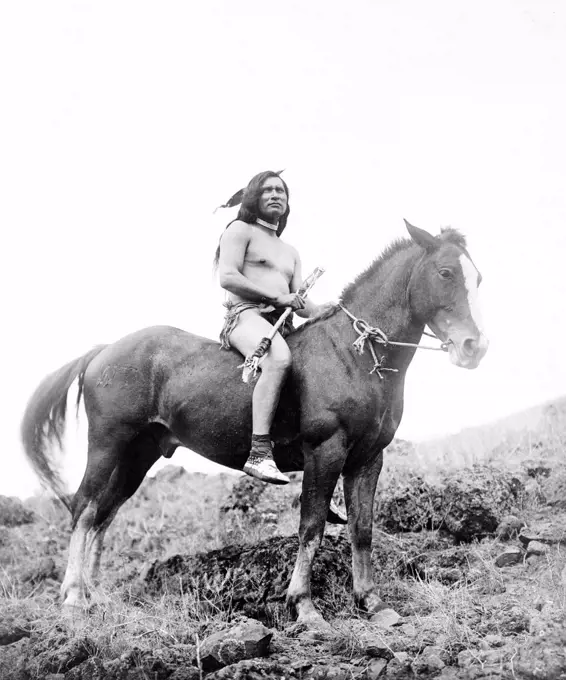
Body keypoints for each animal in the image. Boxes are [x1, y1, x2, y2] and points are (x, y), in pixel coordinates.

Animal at [20, 220, 490, 628]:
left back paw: (95, 594)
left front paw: (372, 603)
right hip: (108, 444)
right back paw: (73, 597)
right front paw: (304, 606)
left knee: (105, 514)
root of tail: (105, 350)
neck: (352, 354)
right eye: (446, 272)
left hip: (138, 455)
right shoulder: (325, 452)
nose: (475, 347)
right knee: (84, 509)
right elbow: (311, 528)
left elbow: (362, 530)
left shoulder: (368, 458)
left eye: (478, 278)